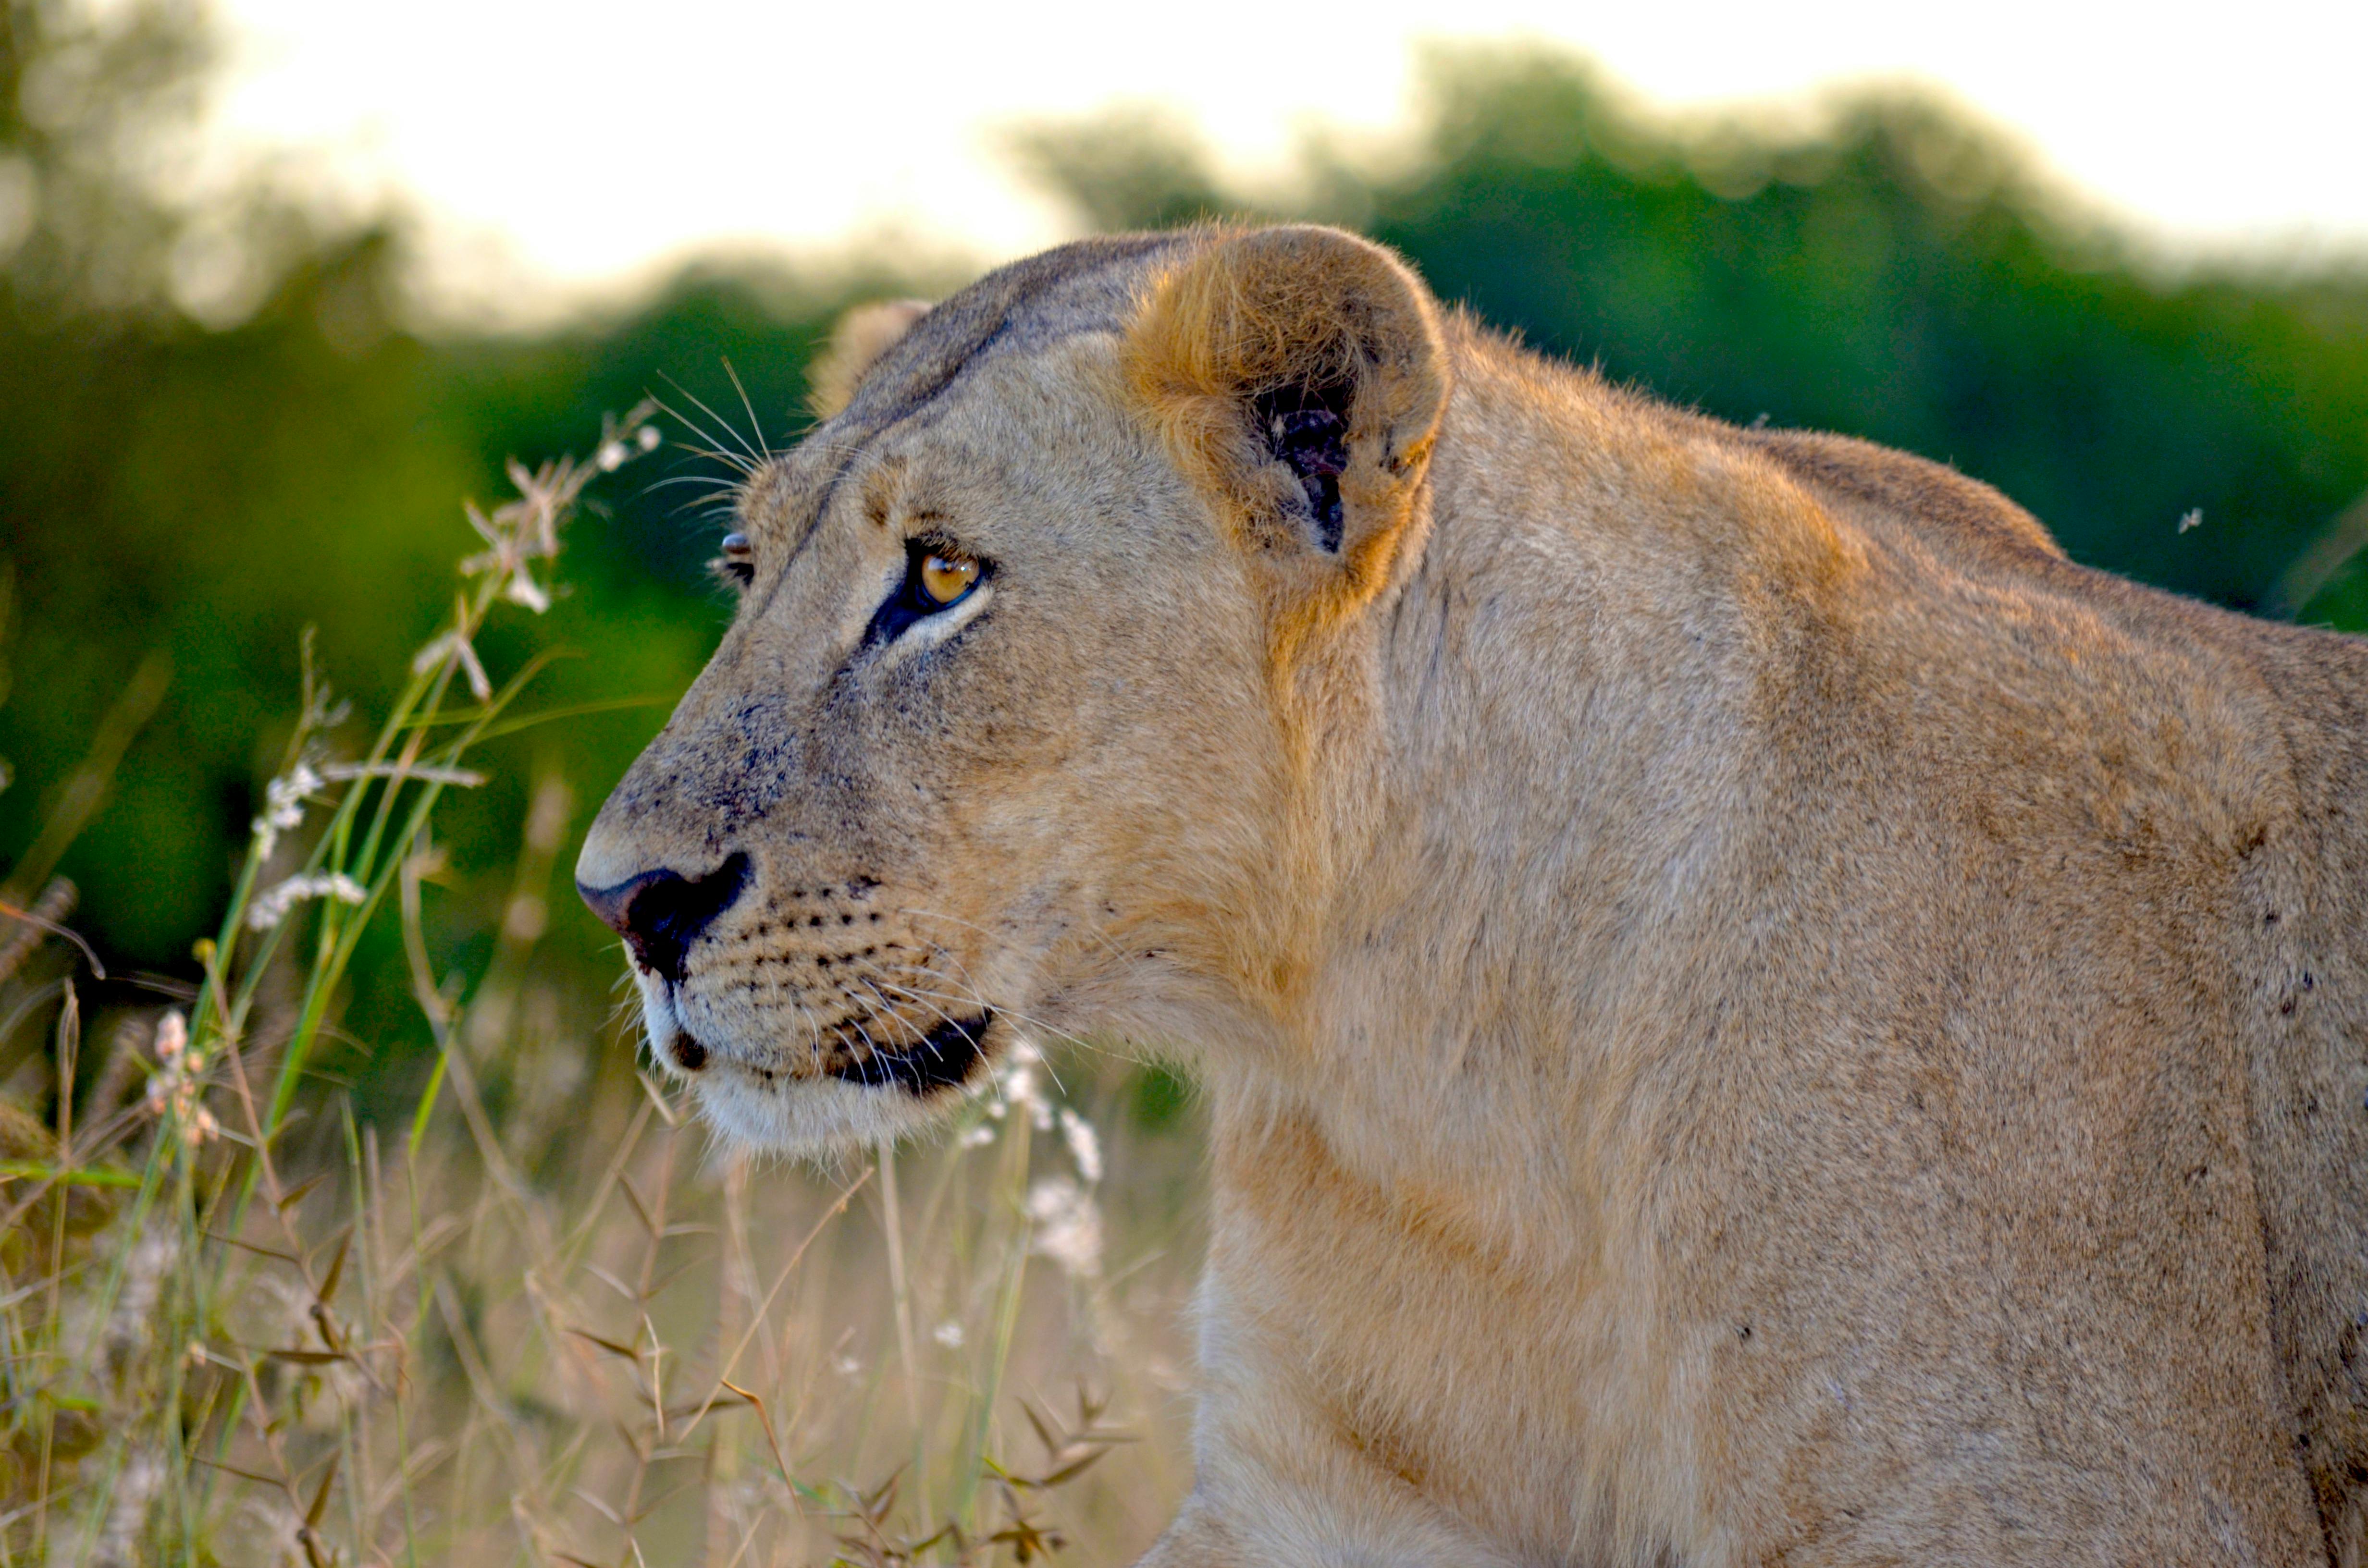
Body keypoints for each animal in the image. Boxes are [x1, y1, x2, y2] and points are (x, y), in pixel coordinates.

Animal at [576, 224, 2368, 1564]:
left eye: (941, 575)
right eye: (745, 571)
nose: (625, 899)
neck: (1445, 1078)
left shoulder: (2065, 1503)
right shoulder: (1311, 1496)